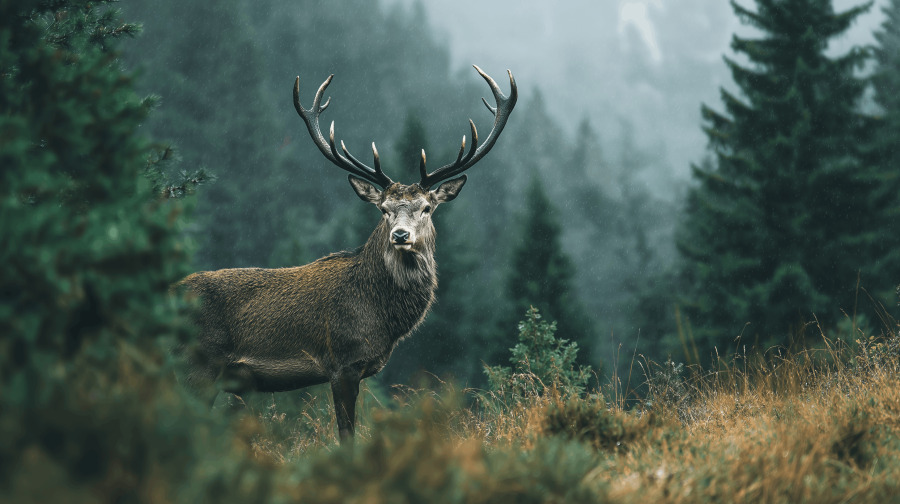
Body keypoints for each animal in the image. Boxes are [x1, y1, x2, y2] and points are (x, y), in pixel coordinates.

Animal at [178, 65, 517, 441]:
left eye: (427, 208)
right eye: (383, 209)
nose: (400, 235)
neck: (382, 318)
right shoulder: (341, 361)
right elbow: (346, 435)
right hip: (199, 364)